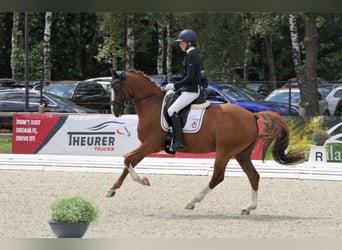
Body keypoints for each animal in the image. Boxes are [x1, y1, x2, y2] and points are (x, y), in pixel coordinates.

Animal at [106, 69, 302, 215]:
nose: (114, 111)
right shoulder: (146, 146)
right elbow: (128, 162)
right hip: (242, 153)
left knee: (217, 177)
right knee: (253, 176)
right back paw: (248, 207)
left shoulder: (150, 144)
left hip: (224, 151)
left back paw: (192, 202)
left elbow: (127, 159)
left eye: (116, 87)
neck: (152, 105)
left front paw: (144, 180)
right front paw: (112, 189)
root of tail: (251, 115)